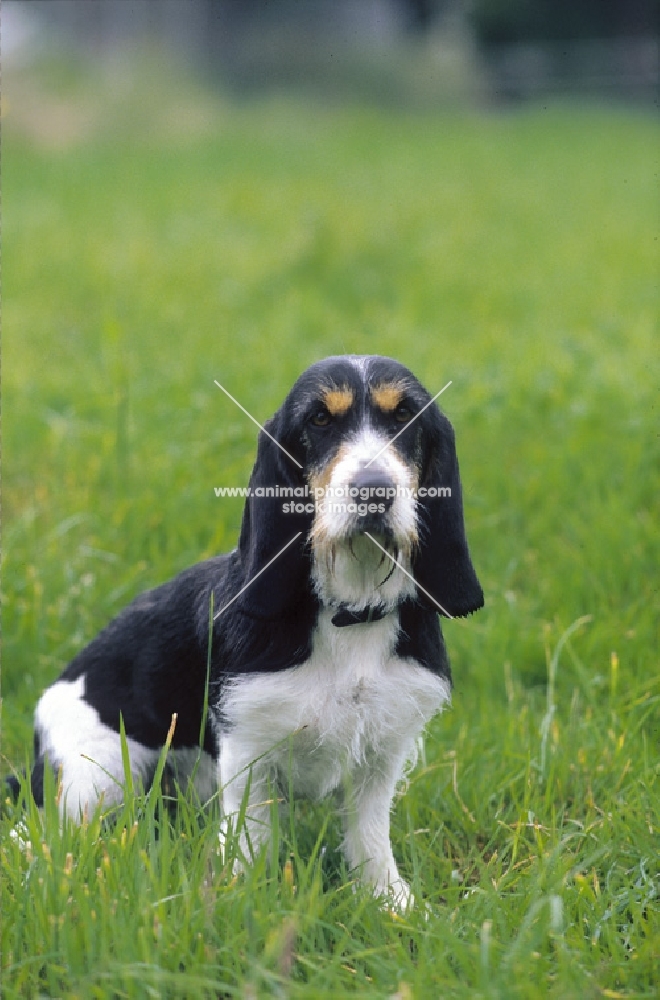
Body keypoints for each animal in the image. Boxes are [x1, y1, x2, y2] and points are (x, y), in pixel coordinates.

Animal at [7, 354, 482, 908]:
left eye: (405, 415)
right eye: (319, 420)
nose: (374, 490)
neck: (346, 611)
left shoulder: (381, 754)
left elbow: (369, 838)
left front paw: (390, 903)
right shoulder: (249, 752)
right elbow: (250, 842)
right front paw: (243, 900)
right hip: (95, 776)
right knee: (38, 832)